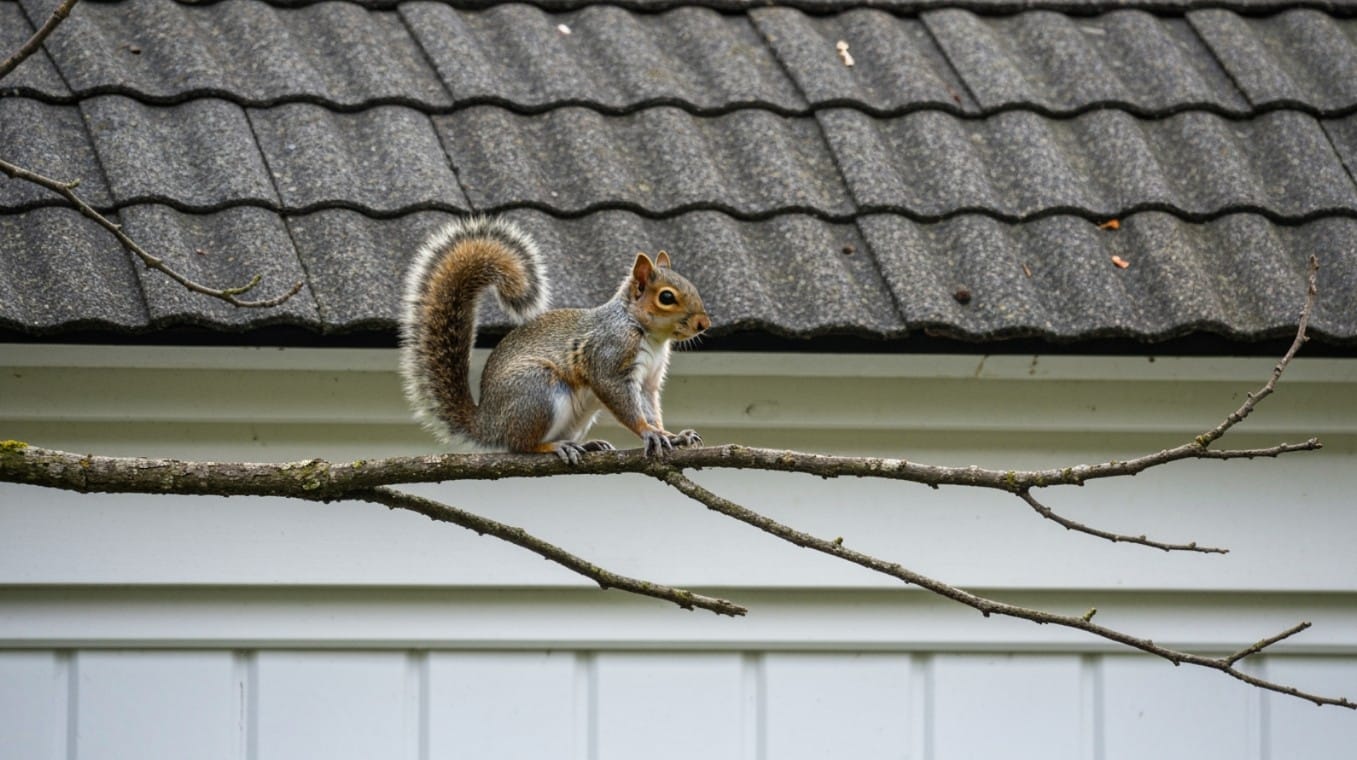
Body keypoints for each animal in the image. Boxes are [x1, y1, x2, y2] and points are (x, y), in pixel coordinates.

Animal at [399, 216, 712, 464]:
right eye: (666, 297)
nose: (704, 323)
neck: (651, 335)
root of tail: (488, 423)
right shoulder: (610, 353)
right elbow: (619, 397)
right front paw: (648, 432)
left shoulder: (648, 381)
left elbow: (650, 408)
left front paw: (671, 435)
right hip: (537, 392)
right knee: (520, 446)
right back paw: (553, 447)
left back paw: (587, 444)